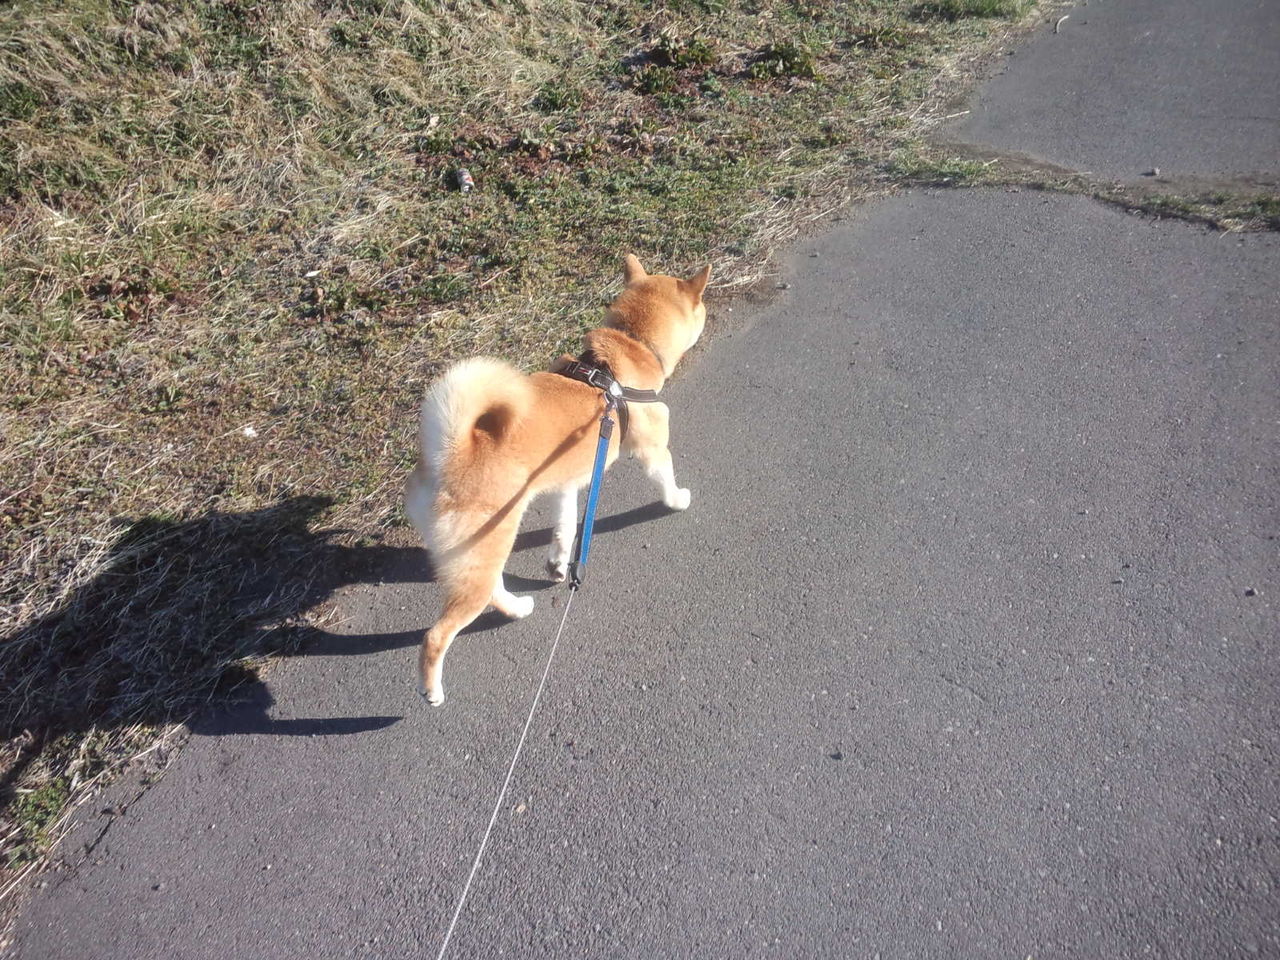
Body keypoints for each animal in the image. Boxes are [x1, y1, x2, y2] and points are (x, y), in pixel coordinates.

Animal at [404, 255, 711, 705]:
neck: (624, 352)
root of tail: (451, 453)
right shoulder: (652, 450)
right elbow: (665, 481)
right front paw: (678, 499)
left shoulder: (568, 482)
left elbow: (565, 527)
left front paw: (558, 563)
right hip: (487, 545)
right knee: (437, 635)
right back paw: (431, 690)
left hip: (480, 550)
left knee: (491, 589)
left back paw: (518, 608)